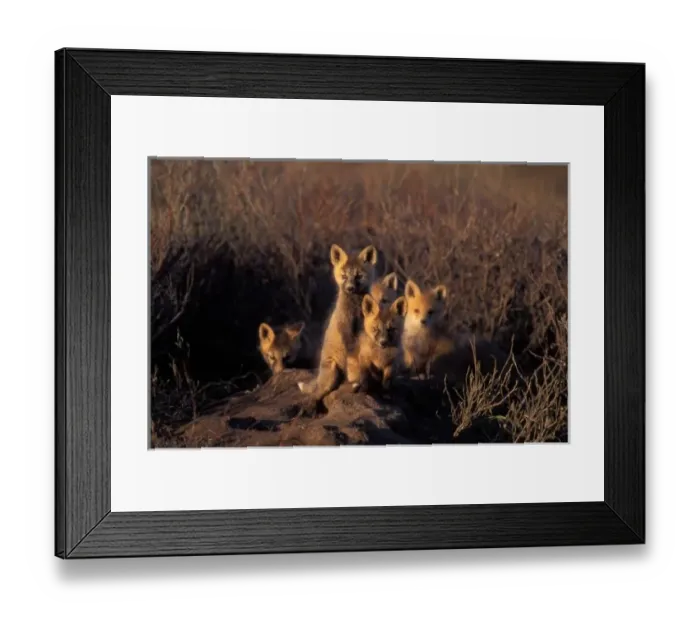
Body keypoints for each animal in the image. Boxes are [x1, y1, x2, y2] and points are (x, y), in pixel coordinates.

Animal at [297, 243, 378, 401]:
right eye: (344, 276)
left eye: (358, 276)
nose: (350, 288)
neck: (355, 310)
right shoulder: (346, 330)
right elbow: (353, 360)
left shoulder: (362, 332)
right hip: (332, 374)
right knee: (318, 394)